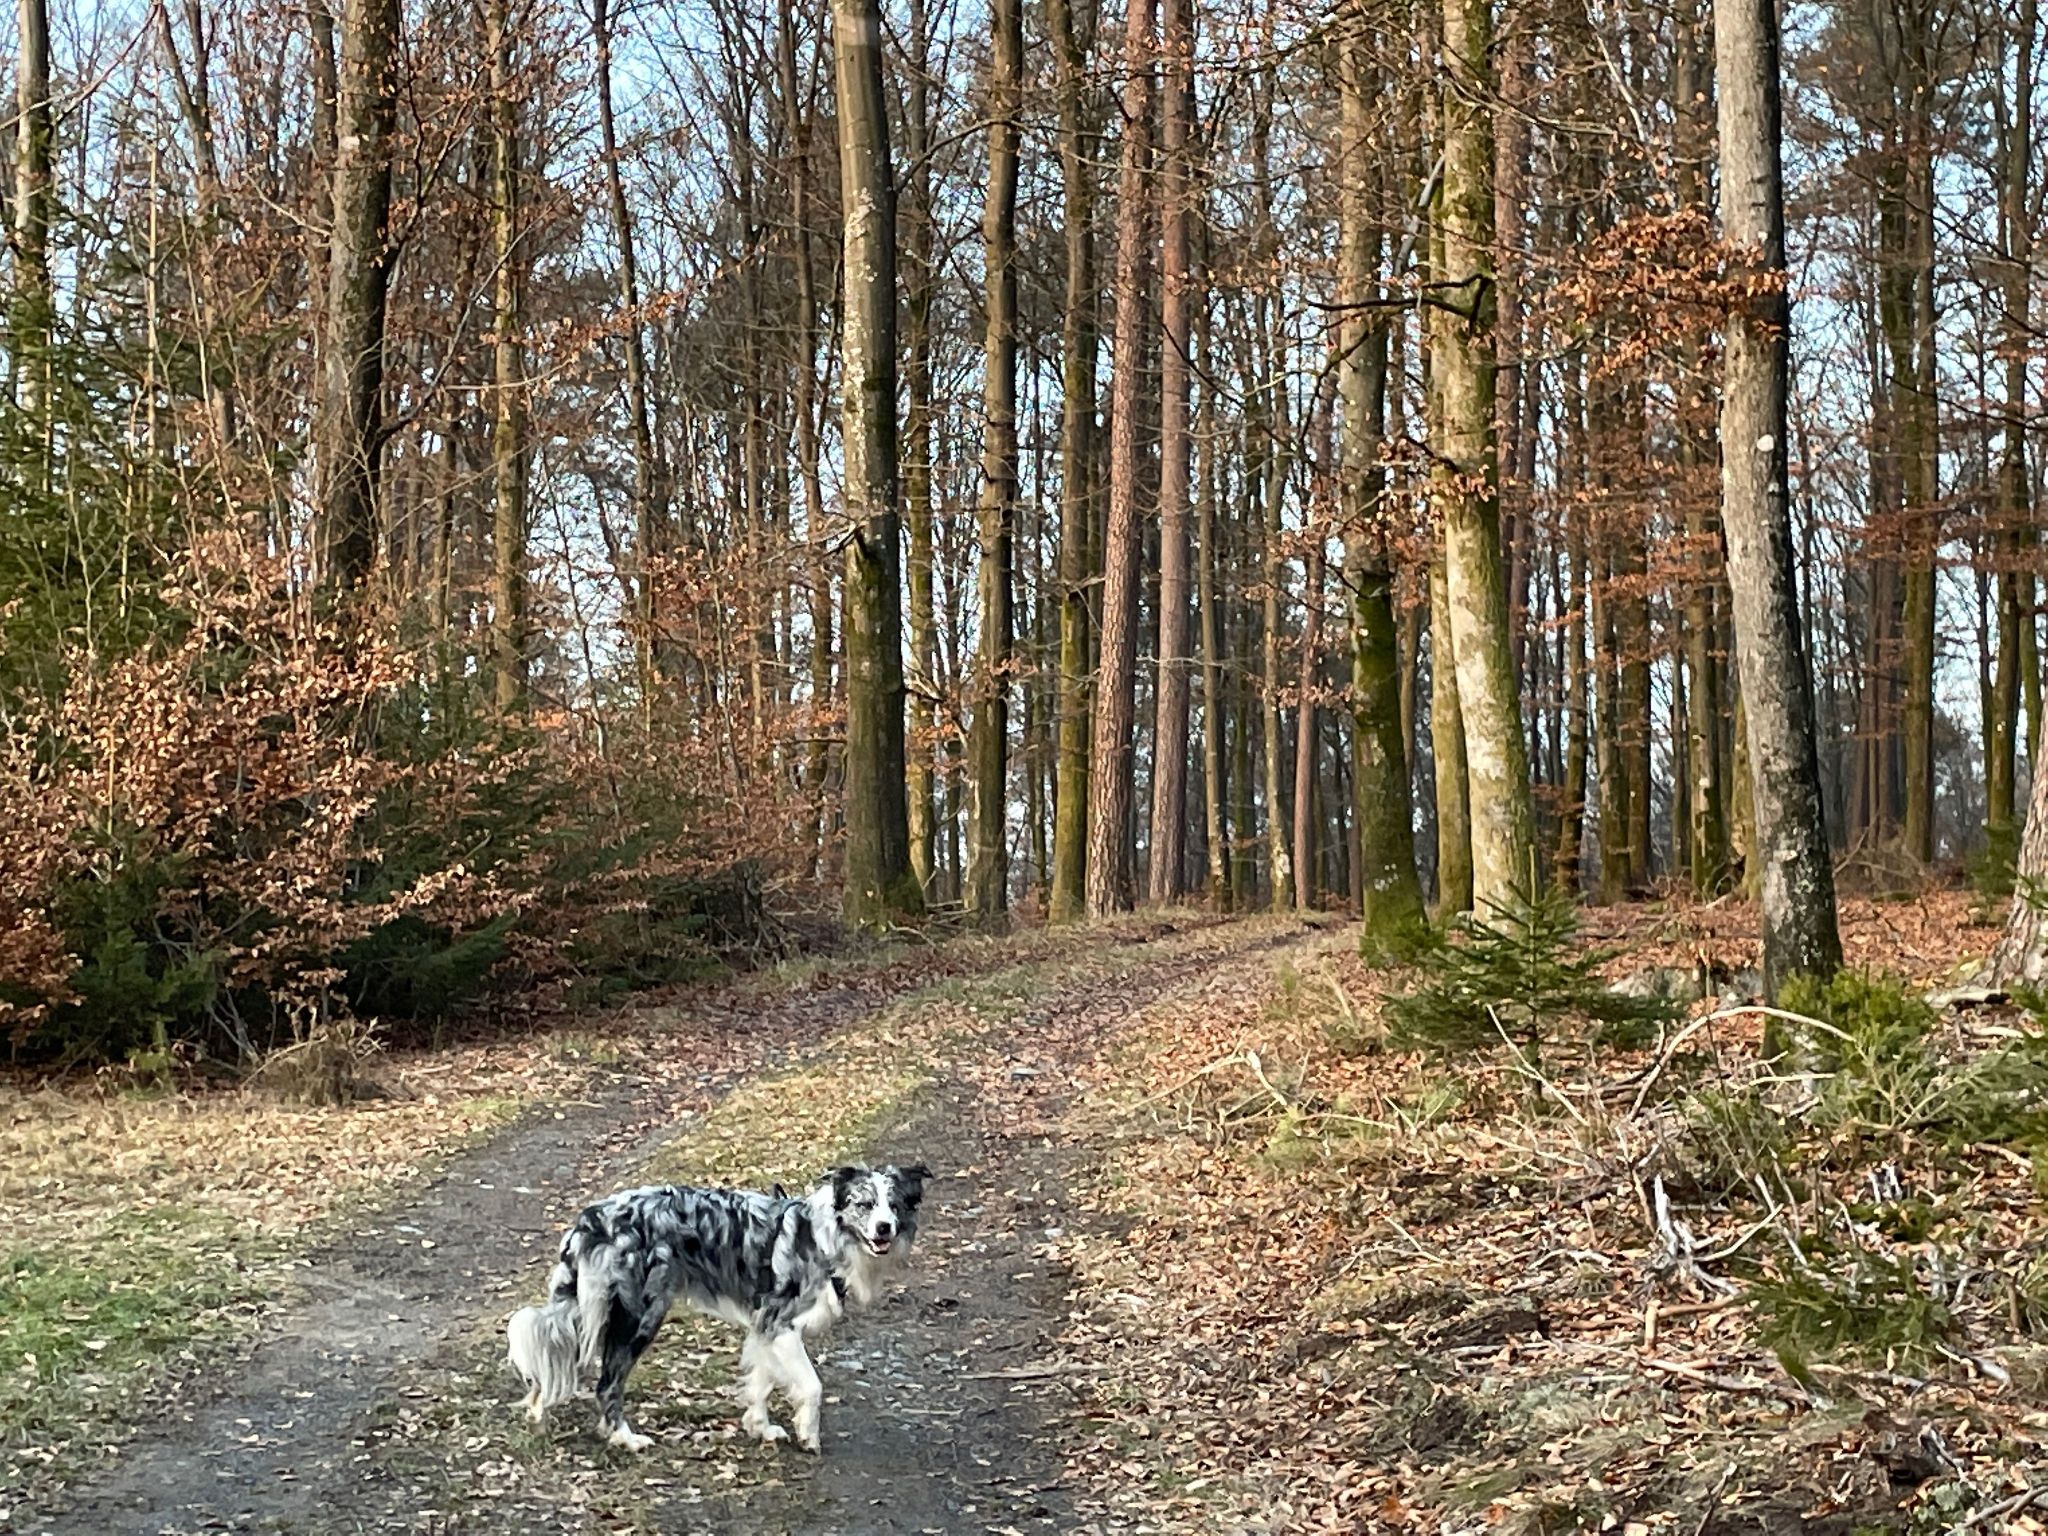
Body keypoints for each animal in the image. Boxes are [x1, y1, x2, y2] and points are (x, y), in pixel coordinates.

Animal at [507, 1163, 928, 1452]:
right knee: (607, 1384)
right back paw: (625, 1438)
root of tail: (593, 1217)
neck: (825, 1237)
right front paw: (808, 1434)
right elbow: (811, 1385)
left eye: (894, 1206)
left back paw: (538, 1414)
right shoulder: (780, 1323)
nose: (884, 1228)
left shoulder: (764, 1326)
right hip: (641, 1314)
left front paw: (760, 1426)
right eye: (865, 1205)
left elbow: (760, 1382)